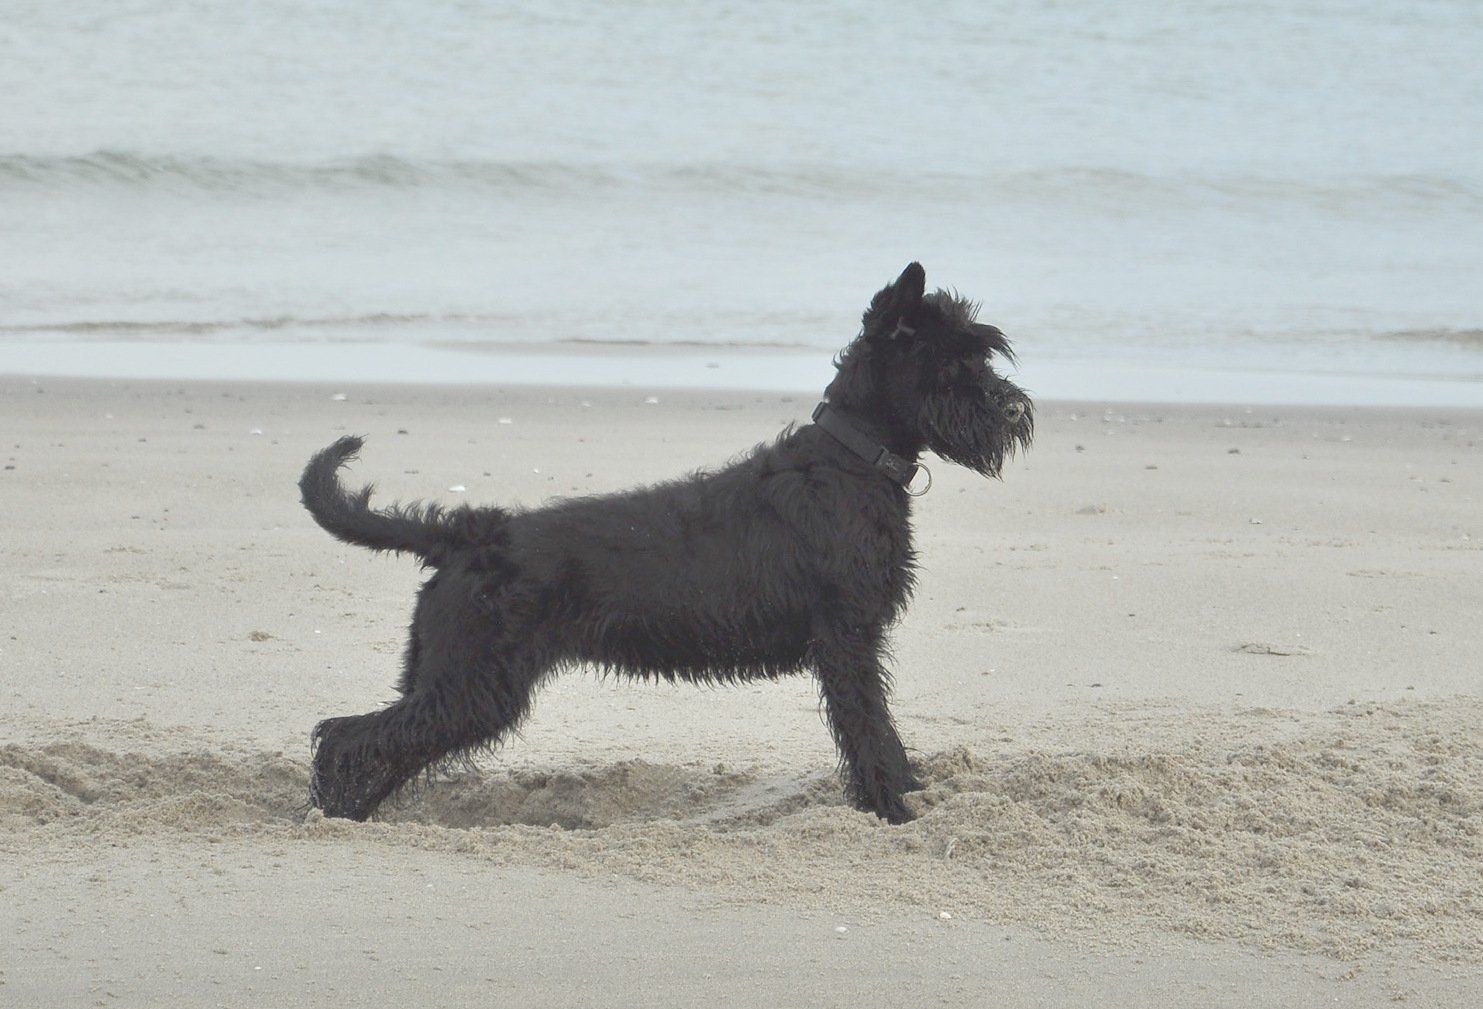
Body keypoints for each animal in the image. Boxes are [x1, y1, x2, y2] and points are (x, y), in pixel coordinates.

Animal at [299, 263, 1032, 824]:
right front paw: (894, 809)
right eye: (952, 361)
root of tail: (470, 533)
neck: (850, 460)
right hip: (472, 683)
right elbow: (869, 727)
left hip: (451, 677)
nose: (1014, 408)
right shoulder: (847, 638)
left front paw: (906, 794)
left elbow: (877, 728)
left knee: (375, 739)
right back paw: (336, 813)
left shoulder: (853, 639)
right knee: (348, 737)